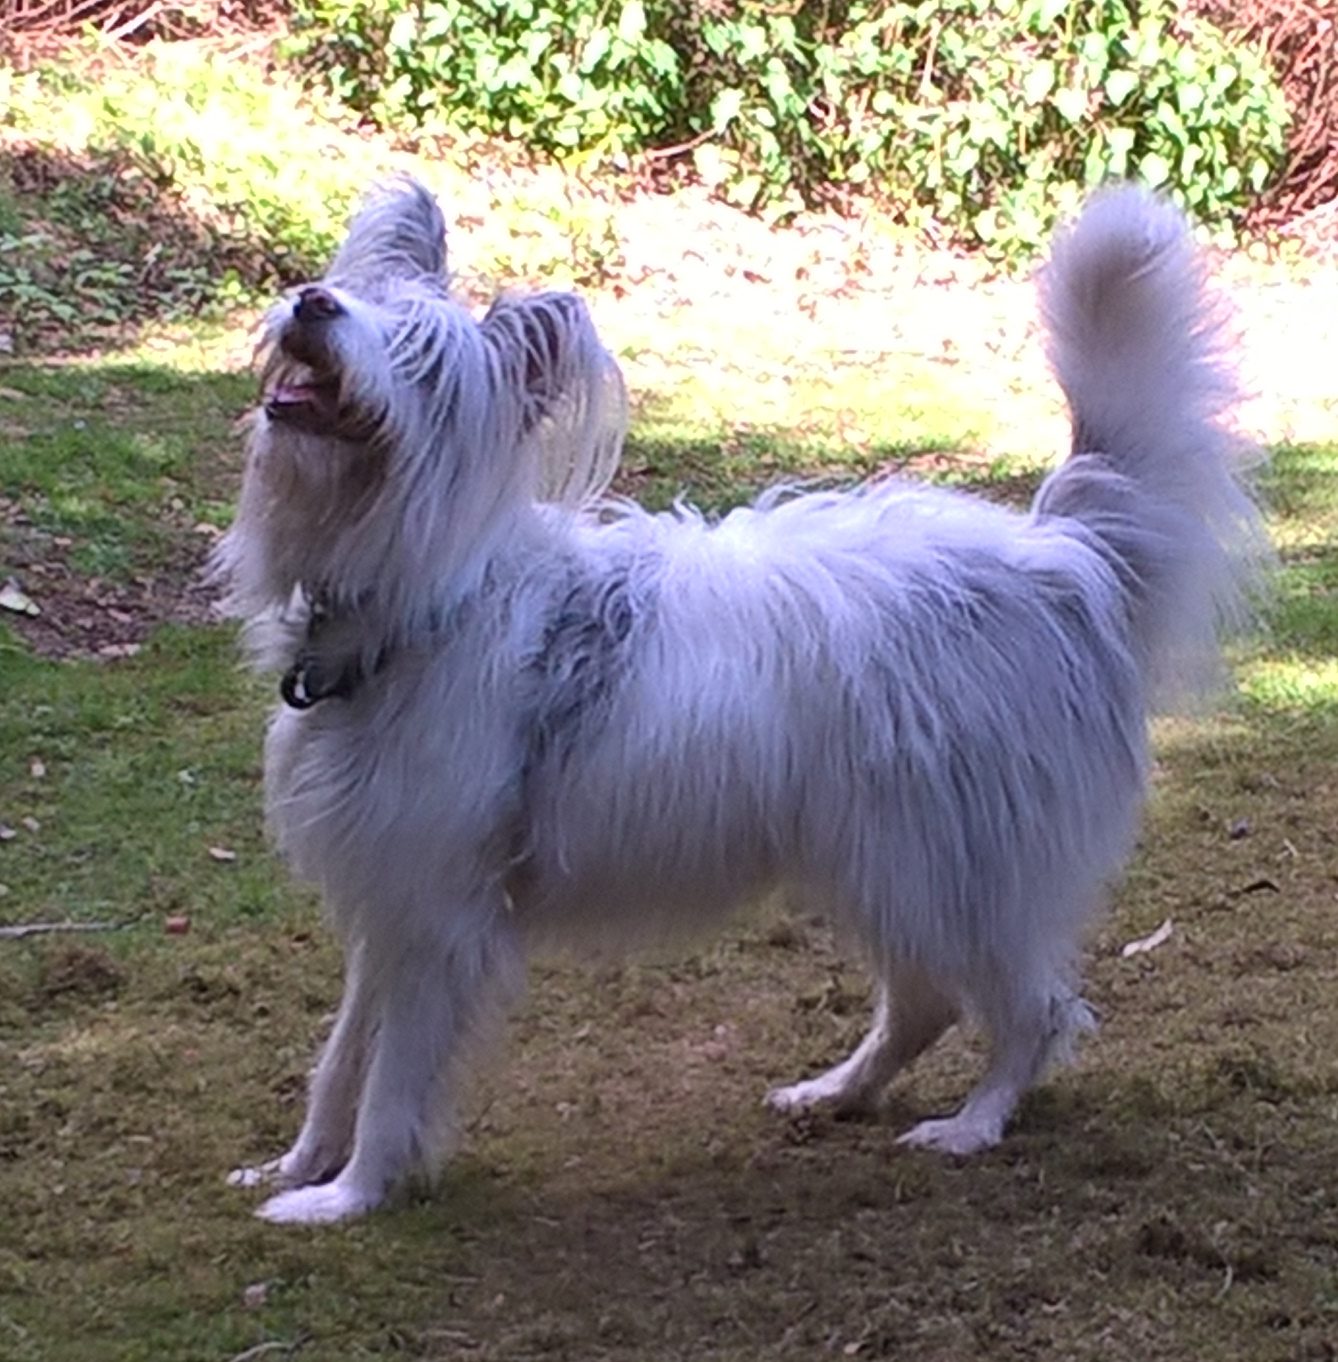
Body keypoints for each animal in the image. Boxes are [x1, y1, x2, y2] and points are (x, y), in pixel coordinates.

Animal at [215, 178, 1265, 1223]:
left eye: (423, 359)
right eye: (358, 298)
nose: (314, 303)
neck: (422, 600)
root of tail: (1064, 556)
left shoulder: (434, 918)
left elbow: (391, 1084)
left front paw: (346, 1198)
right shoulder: (386, 901)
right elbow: (341, 1061)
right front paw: (296, 1165)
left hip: (955, 869)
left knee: (1034, 1012)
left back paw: (973, 1124)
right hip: (892, 863)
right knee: (925, 1004)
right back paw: (836, 1093)